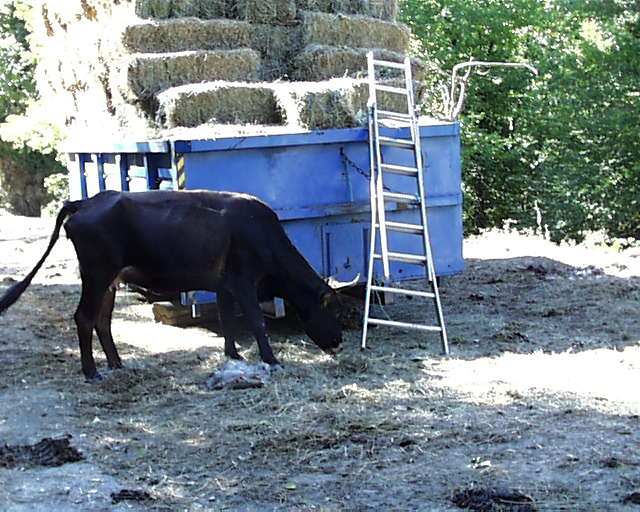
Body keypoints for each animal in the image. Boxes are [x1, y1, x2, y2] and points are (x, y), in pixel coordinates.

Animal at [0, 190, 350, 382]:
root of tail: (86, 201)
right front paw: (271, 359)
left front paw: (233, 356)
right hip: (96, 274)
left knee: (103, 320)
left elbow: (227, 319)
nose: (339, 342)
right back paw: (91, 372)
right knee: (84, 317)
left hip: (110, 280)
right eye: (334, 311)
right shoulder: (243, 280)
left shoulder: (224, 285)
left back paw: (116, 363)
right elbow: (255, 321)